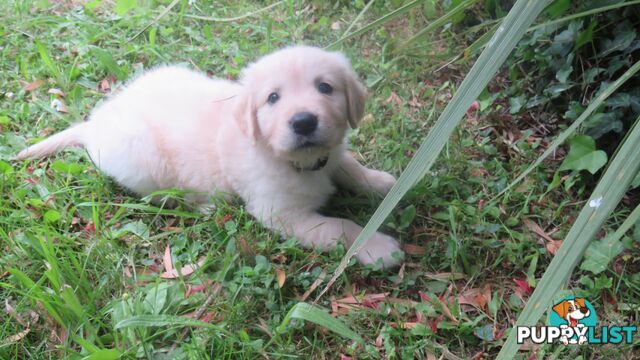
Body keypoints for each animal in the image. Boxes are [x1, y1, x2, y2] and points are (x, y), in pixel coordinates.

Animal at [15, 45, 402, 266]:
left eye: (325, 87)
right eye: (272, 98)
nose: (304, 121)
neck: (300, 162)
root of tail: (96, 123)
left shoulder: (331, 155)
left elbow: (350, 166)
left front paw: (381, 183)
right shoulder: (284, 215)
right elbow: (341, 228)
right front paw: (378, 247)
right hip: (143, 159)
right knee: (160, 195)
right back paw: (203, 205)